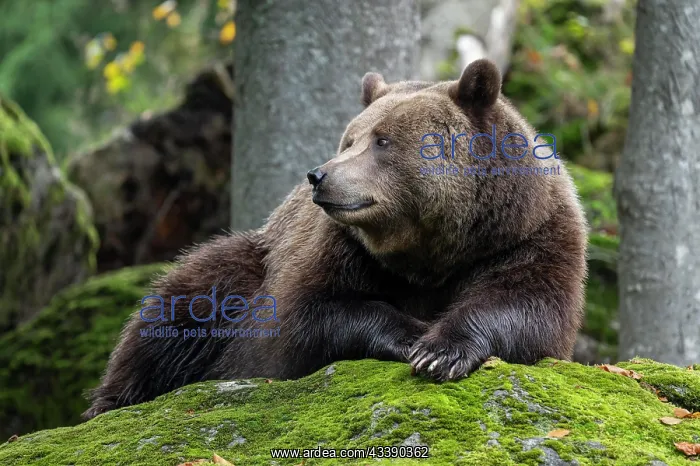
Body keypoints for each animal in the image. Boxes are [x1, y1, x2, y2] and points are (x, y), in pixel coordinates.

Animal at [83, 59, 588, 420]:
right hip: (249, 262)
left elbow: (526, 307)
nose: (319, 175)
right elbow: (309, 314)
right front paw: (412, 337)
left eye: (382, 141)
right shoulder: (341, 248)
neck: (434, 249)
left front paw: (440, 352)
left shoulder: (528, 236)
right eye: (350, 139)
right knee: (187, 300)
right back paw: (111, 402)